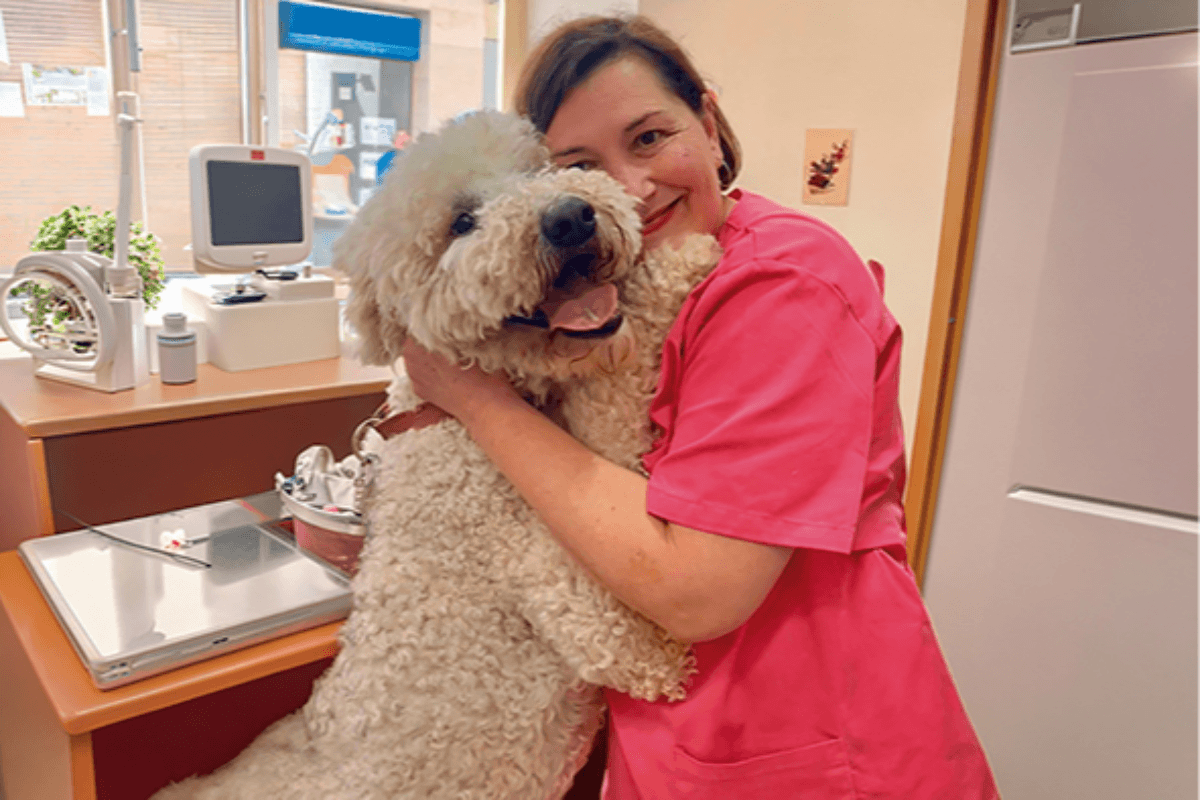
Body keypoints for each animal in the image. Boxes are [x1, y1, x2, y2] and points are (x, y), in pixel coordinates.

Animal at [152, 110, 720, 800]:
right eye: (462, 223)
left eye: (539, 168)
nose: (569, 216)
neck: (455, 414)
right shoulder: (560, 572)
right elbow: (628, 642)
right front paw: (683, 259)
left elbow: (612, 387)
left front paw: (670, 262)